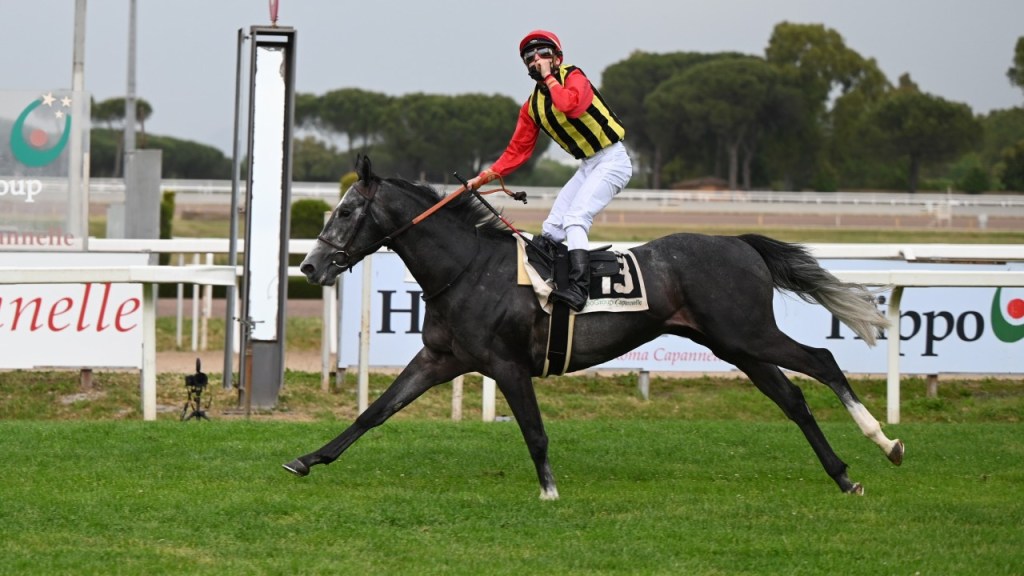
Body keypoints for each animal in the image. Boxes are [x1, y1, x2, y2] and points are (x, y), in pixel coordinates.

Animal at [284, 155, 904, 499]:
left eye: (345, 211)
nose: (309, 267)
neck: (469, 267)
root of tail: (739, 243)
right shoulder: (441, 358)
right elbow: (374, 412)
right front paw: (307, 459)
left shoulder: (508, 365)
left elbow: (534, 431)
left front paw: (550, 490)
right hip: (734, 344)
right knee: (792, 399)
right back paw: (844, 475)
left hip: (747, 333)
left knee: (822, 361)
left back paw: (886, 441)